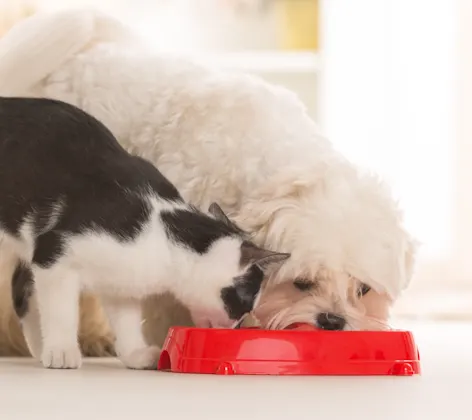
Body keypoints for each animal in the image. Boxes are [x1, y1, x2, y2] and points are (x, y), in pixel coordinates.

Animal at [0, 97, 292, 370]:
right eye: (245, 305)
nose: (239, 327)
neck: (162, 235)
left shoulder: (121, 281)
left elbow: (126, 318)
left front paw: (135, 354)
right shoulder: (55, 253)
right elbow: (61, 309)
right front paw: (62, 349)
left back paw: (39, 346)